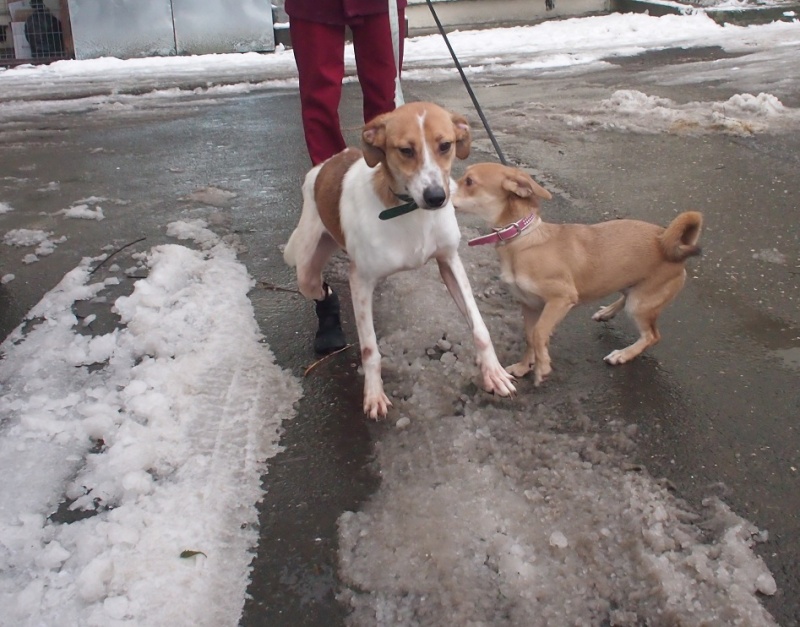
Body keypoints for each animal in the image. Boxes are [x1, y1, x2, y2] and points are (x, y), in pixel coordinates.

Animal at [284, 103, 516, 420]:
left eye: (445, 145)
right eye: (406, 150)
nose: (436, 197)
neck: (410, 211)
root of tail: (328, 162)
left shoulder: (450, 261)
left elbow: (479, 327)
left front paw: (492, 371)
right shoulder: (360, 281)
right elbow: (370, 350)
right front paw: (374, 394)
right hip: (306, 270)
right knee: (319, 287)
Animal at [454, 164, 704, 386]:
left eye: (469, 181)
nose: (444, 192)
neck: (521, 239)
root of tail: (669, 242)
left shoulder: (561, 299)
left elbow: (539, 334)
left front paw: (542, 367)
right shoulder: (530, 305)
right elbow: (530, 337)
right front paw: (525, 366)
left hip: (641, 303)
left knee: (651, 336)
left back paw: (623, 354)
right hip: (631, 287)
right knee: (626, 298)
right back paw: (607, 312)